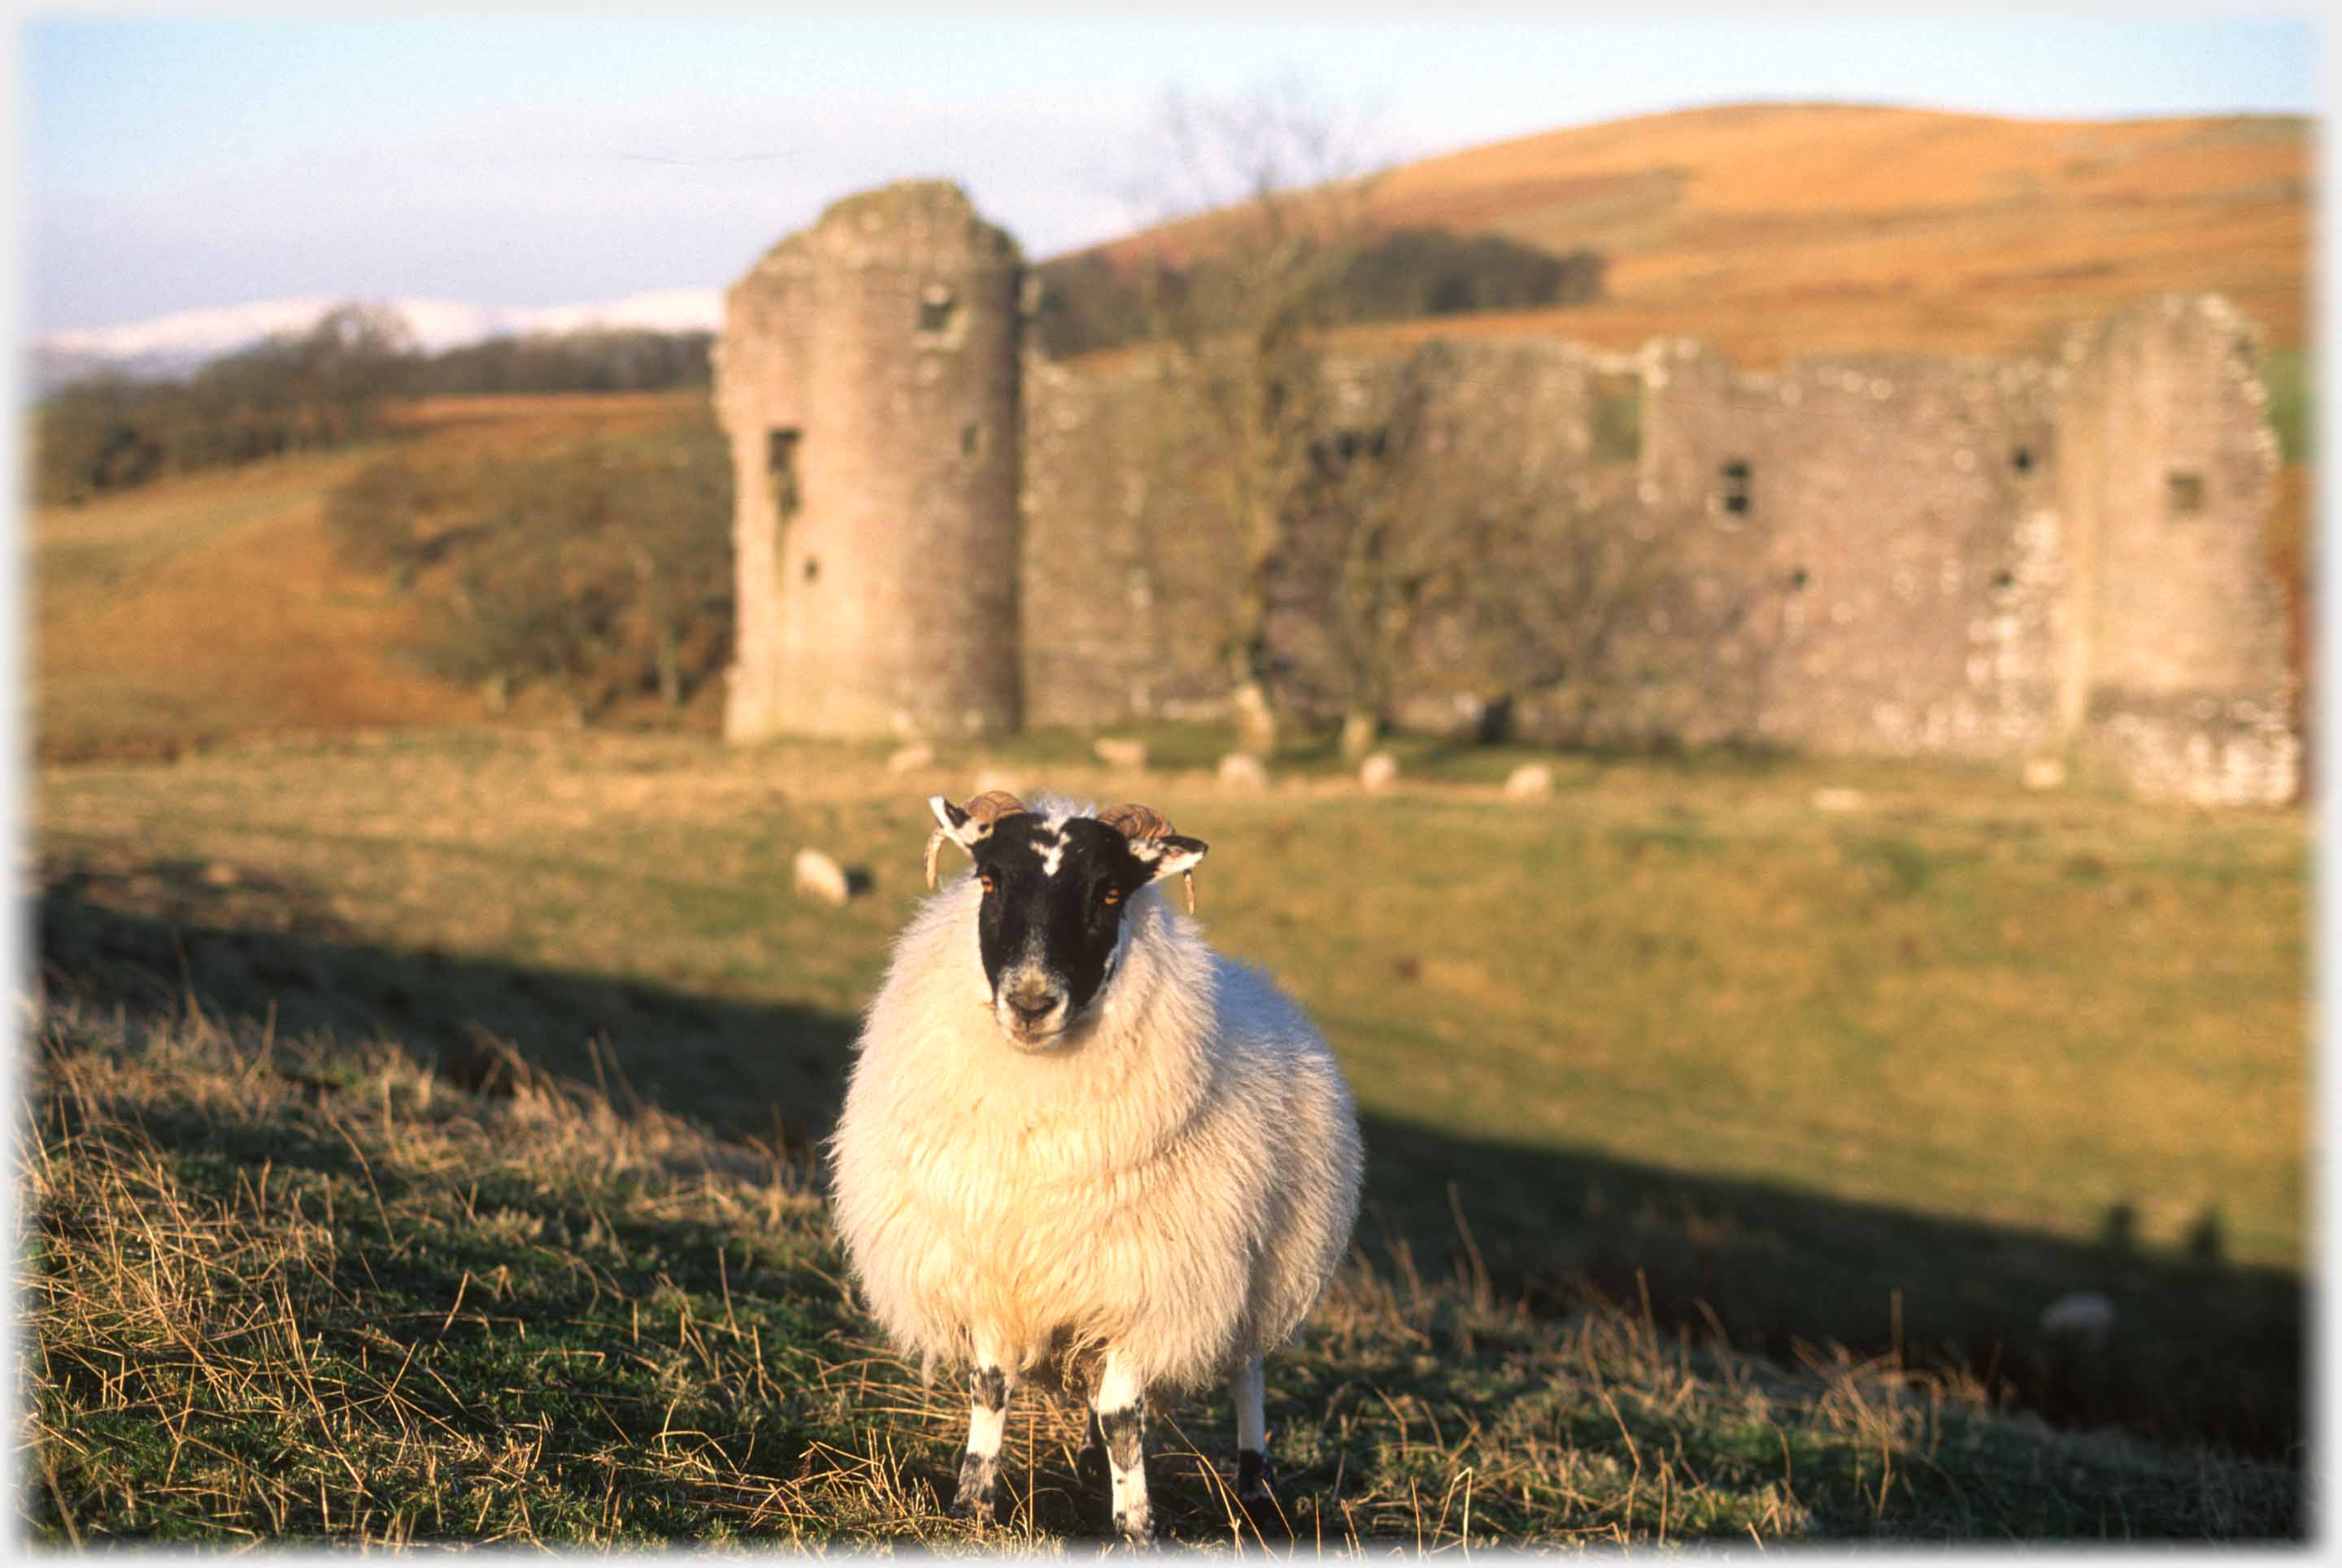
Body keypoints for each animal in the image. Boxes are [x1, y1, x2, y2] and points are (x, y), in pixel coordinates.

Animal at [827, 789, 1363, 1541]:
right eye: (988, 880)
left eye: (1110, 892)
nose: (1030, 1003)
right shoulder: (993, 1265)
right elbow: (991, 1388)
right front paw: (972, 1505)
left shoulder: (1149, 1280)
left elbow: (1124, 1418)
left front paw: (1136, 1527)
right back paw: (1085, 1463)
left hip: (1257, 1269)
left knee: (1246, 1374)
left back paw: (1255, 1489)